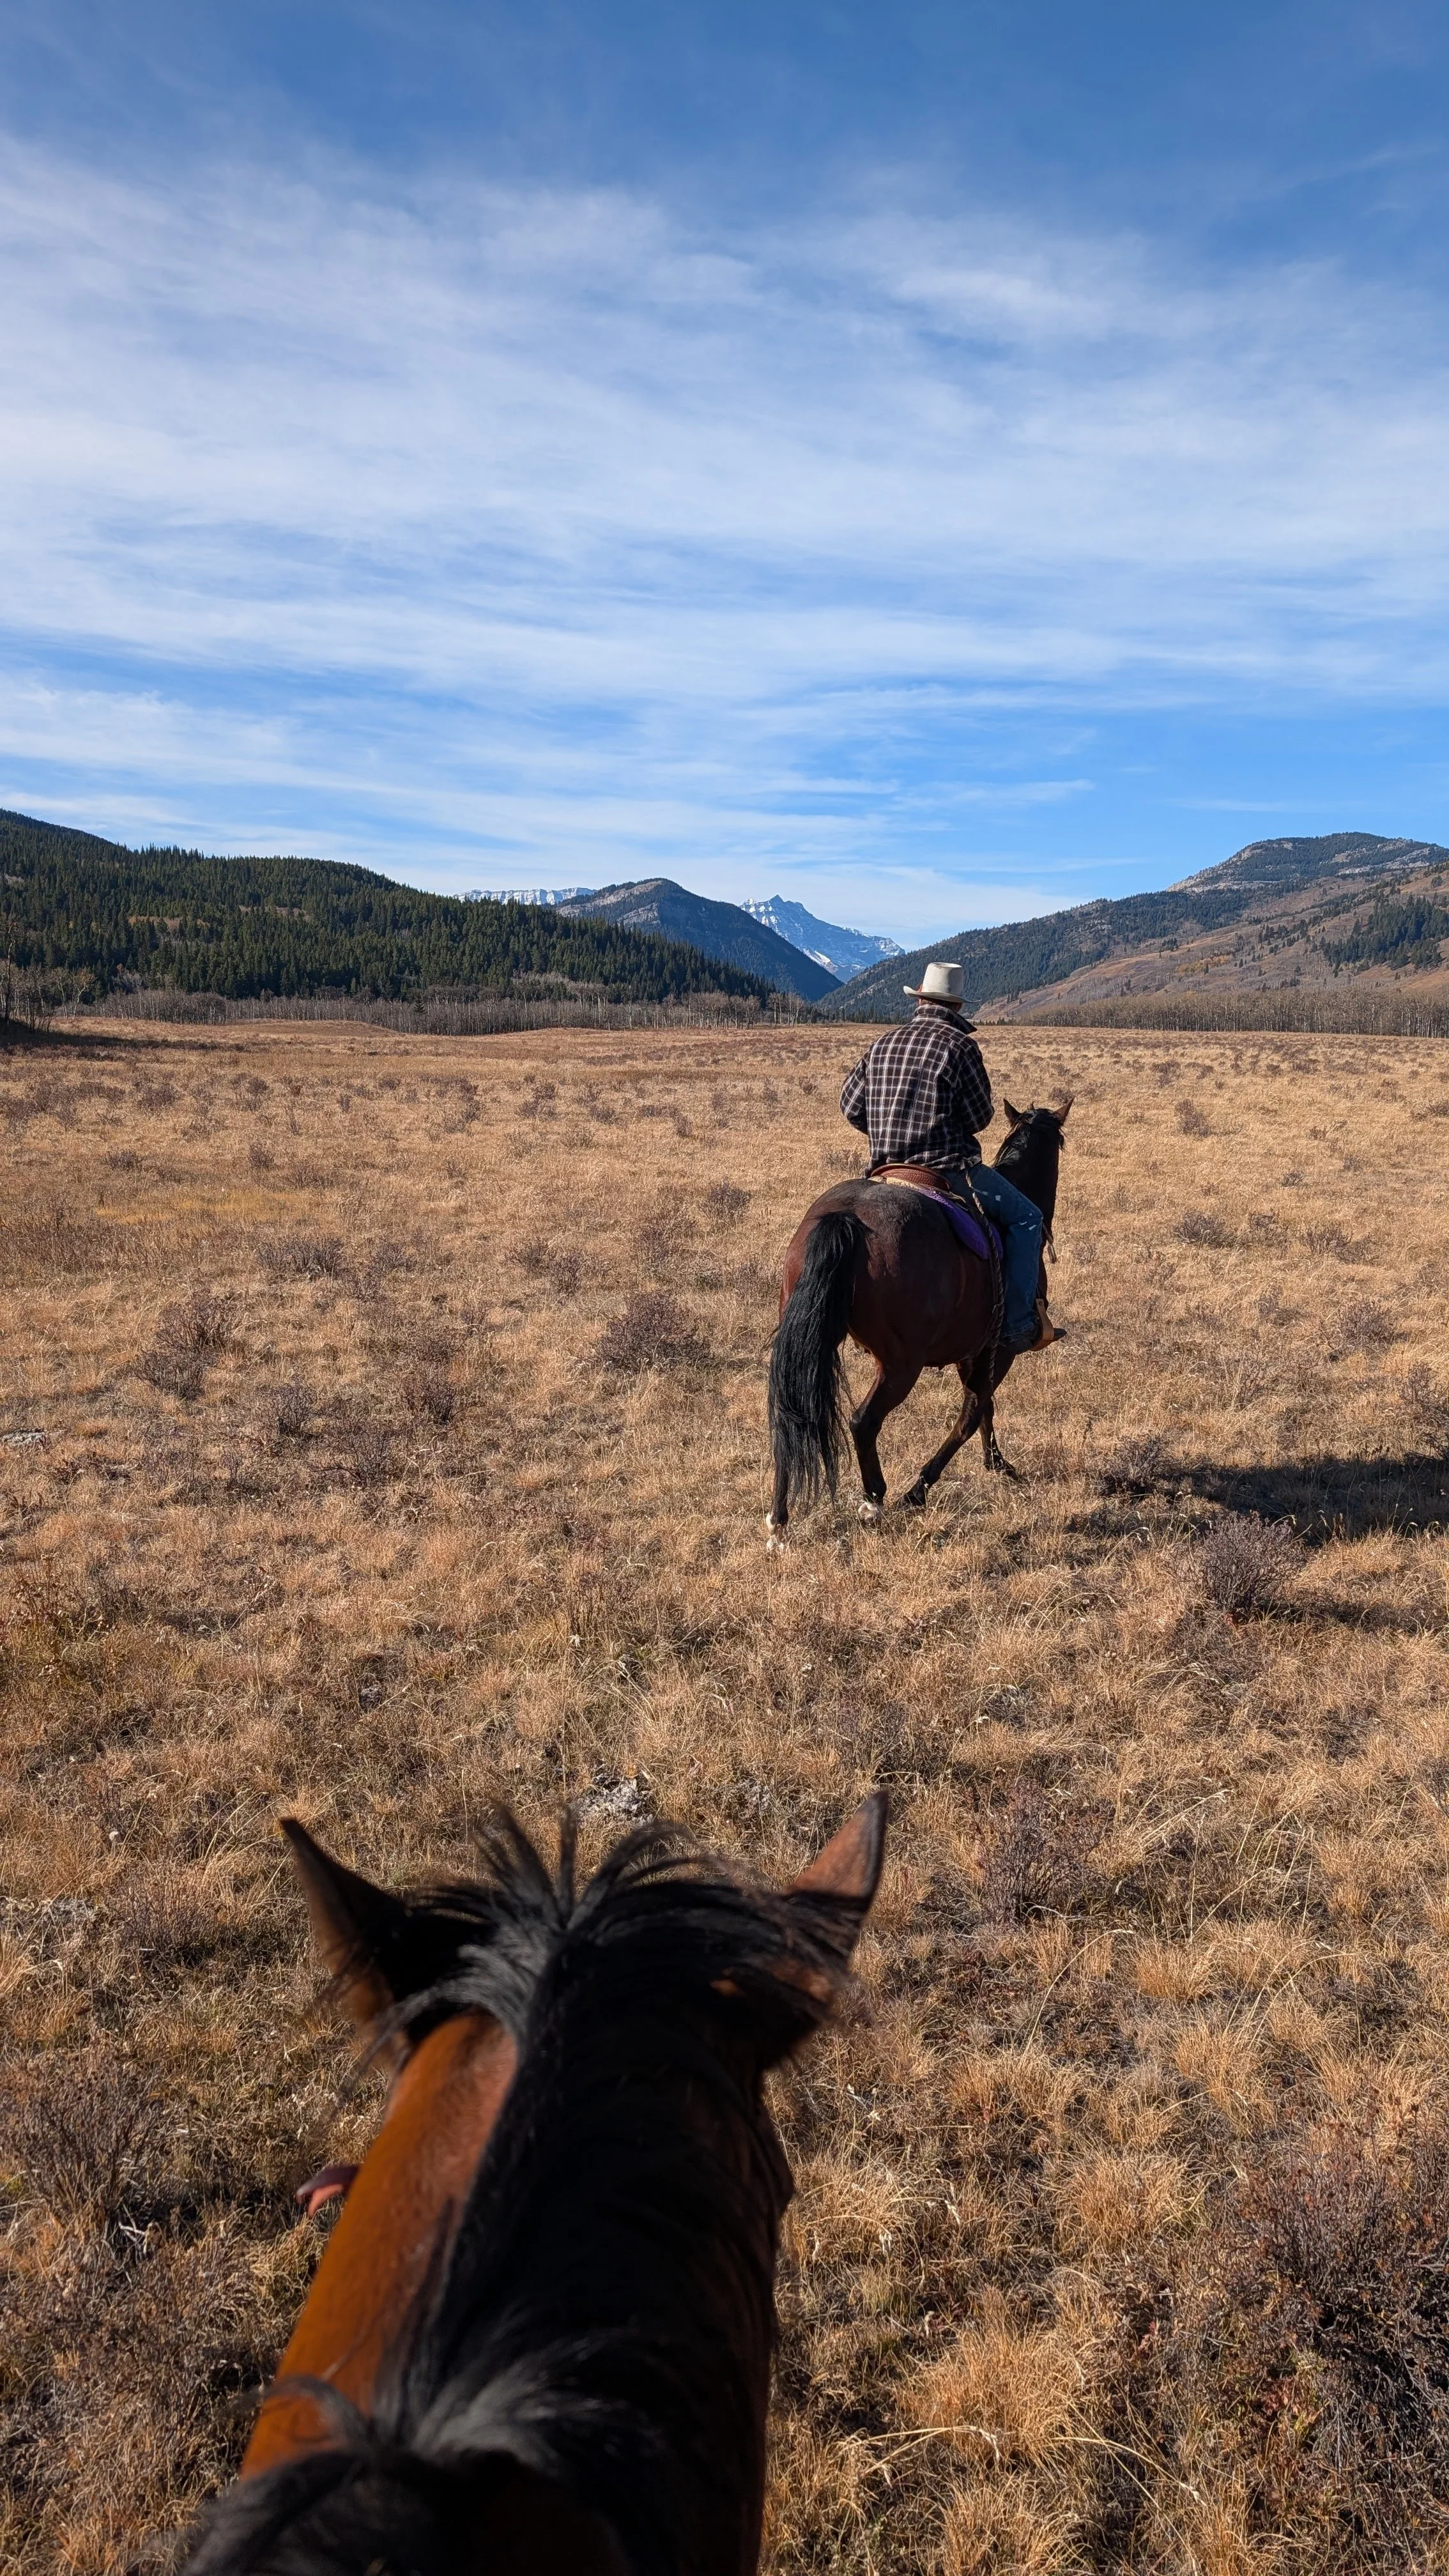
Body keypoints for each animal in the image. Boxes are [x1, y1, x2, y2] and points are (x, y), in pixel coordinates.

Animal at [766, 1100, 1070, 1540]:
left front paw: (996, 1463)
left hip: (808, 1338)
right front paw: (920, 1489)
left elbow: (984, 1408)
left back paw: (779, 1520)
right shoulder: (999, 1350)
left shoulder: (974, 1350)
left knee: (792, 1414)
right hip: (901, 1364)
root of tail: (848, 1218)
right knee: (863, 1421)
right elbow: (972, 1413)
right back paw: (874, 1500)